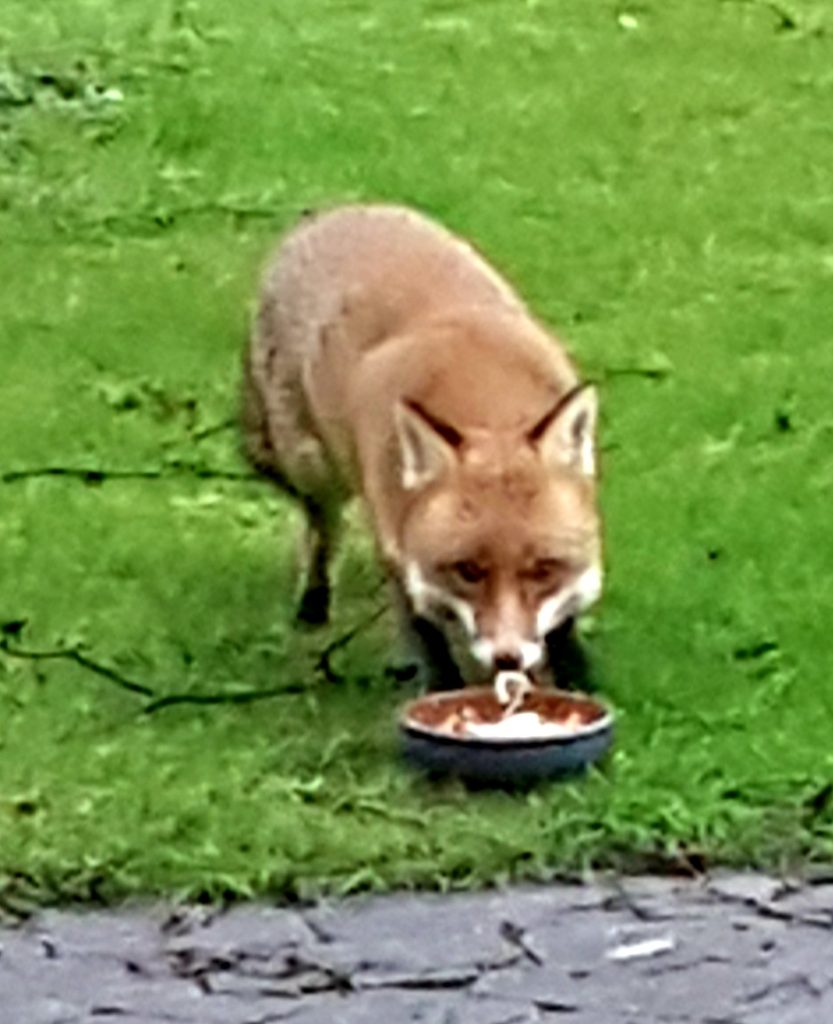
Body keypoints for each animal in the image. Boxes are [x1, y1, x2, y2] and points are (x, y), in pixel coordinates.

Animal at [243, 204, 602, 688]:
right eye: (467, 571)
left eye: (544, 568)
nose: (508, 659)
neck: (484, 392)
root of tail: (331, 210)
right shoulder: (396, 542)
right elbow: (424, 632)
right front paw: (441, 688)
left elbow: (563, 622)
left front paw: (577, 675)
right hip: (313, 468)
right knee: (323, 527)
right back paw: (314, 603)